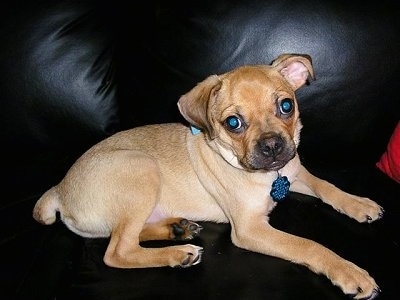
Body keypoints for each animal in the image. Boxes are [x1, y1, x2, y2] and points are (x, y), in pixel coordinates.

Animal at [32, 54, 382, 300]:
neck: (272, 176)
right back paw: (178, 253)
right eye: (233, 123)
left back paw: (177, 229)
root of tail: (58, 190)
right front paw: (348, 272)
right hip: (142, 167)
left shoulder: (295, 172)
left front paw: (358, 203)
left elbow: (326, 186)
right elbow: (308, 245)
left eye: (286, 105)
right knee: (118, 251)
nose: (272, 145)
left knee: (127, 236)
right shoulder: (250, 229)